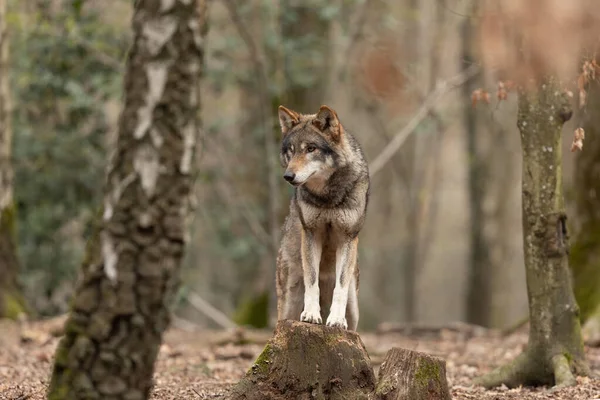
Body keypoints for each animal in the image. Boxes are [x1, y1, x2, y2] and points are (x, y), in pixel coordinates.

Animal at [276, 104, 370, 332]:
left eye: (311, 149)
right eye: (291, 150)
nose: (288, 176)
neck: (327, 198)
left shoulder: (347, 237)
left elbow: (340, 287)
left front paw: (335, 320)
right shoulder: (312, 233)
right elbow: (312, 281)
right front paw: (311, 315)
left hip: (354, 310)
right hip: (288, 306)